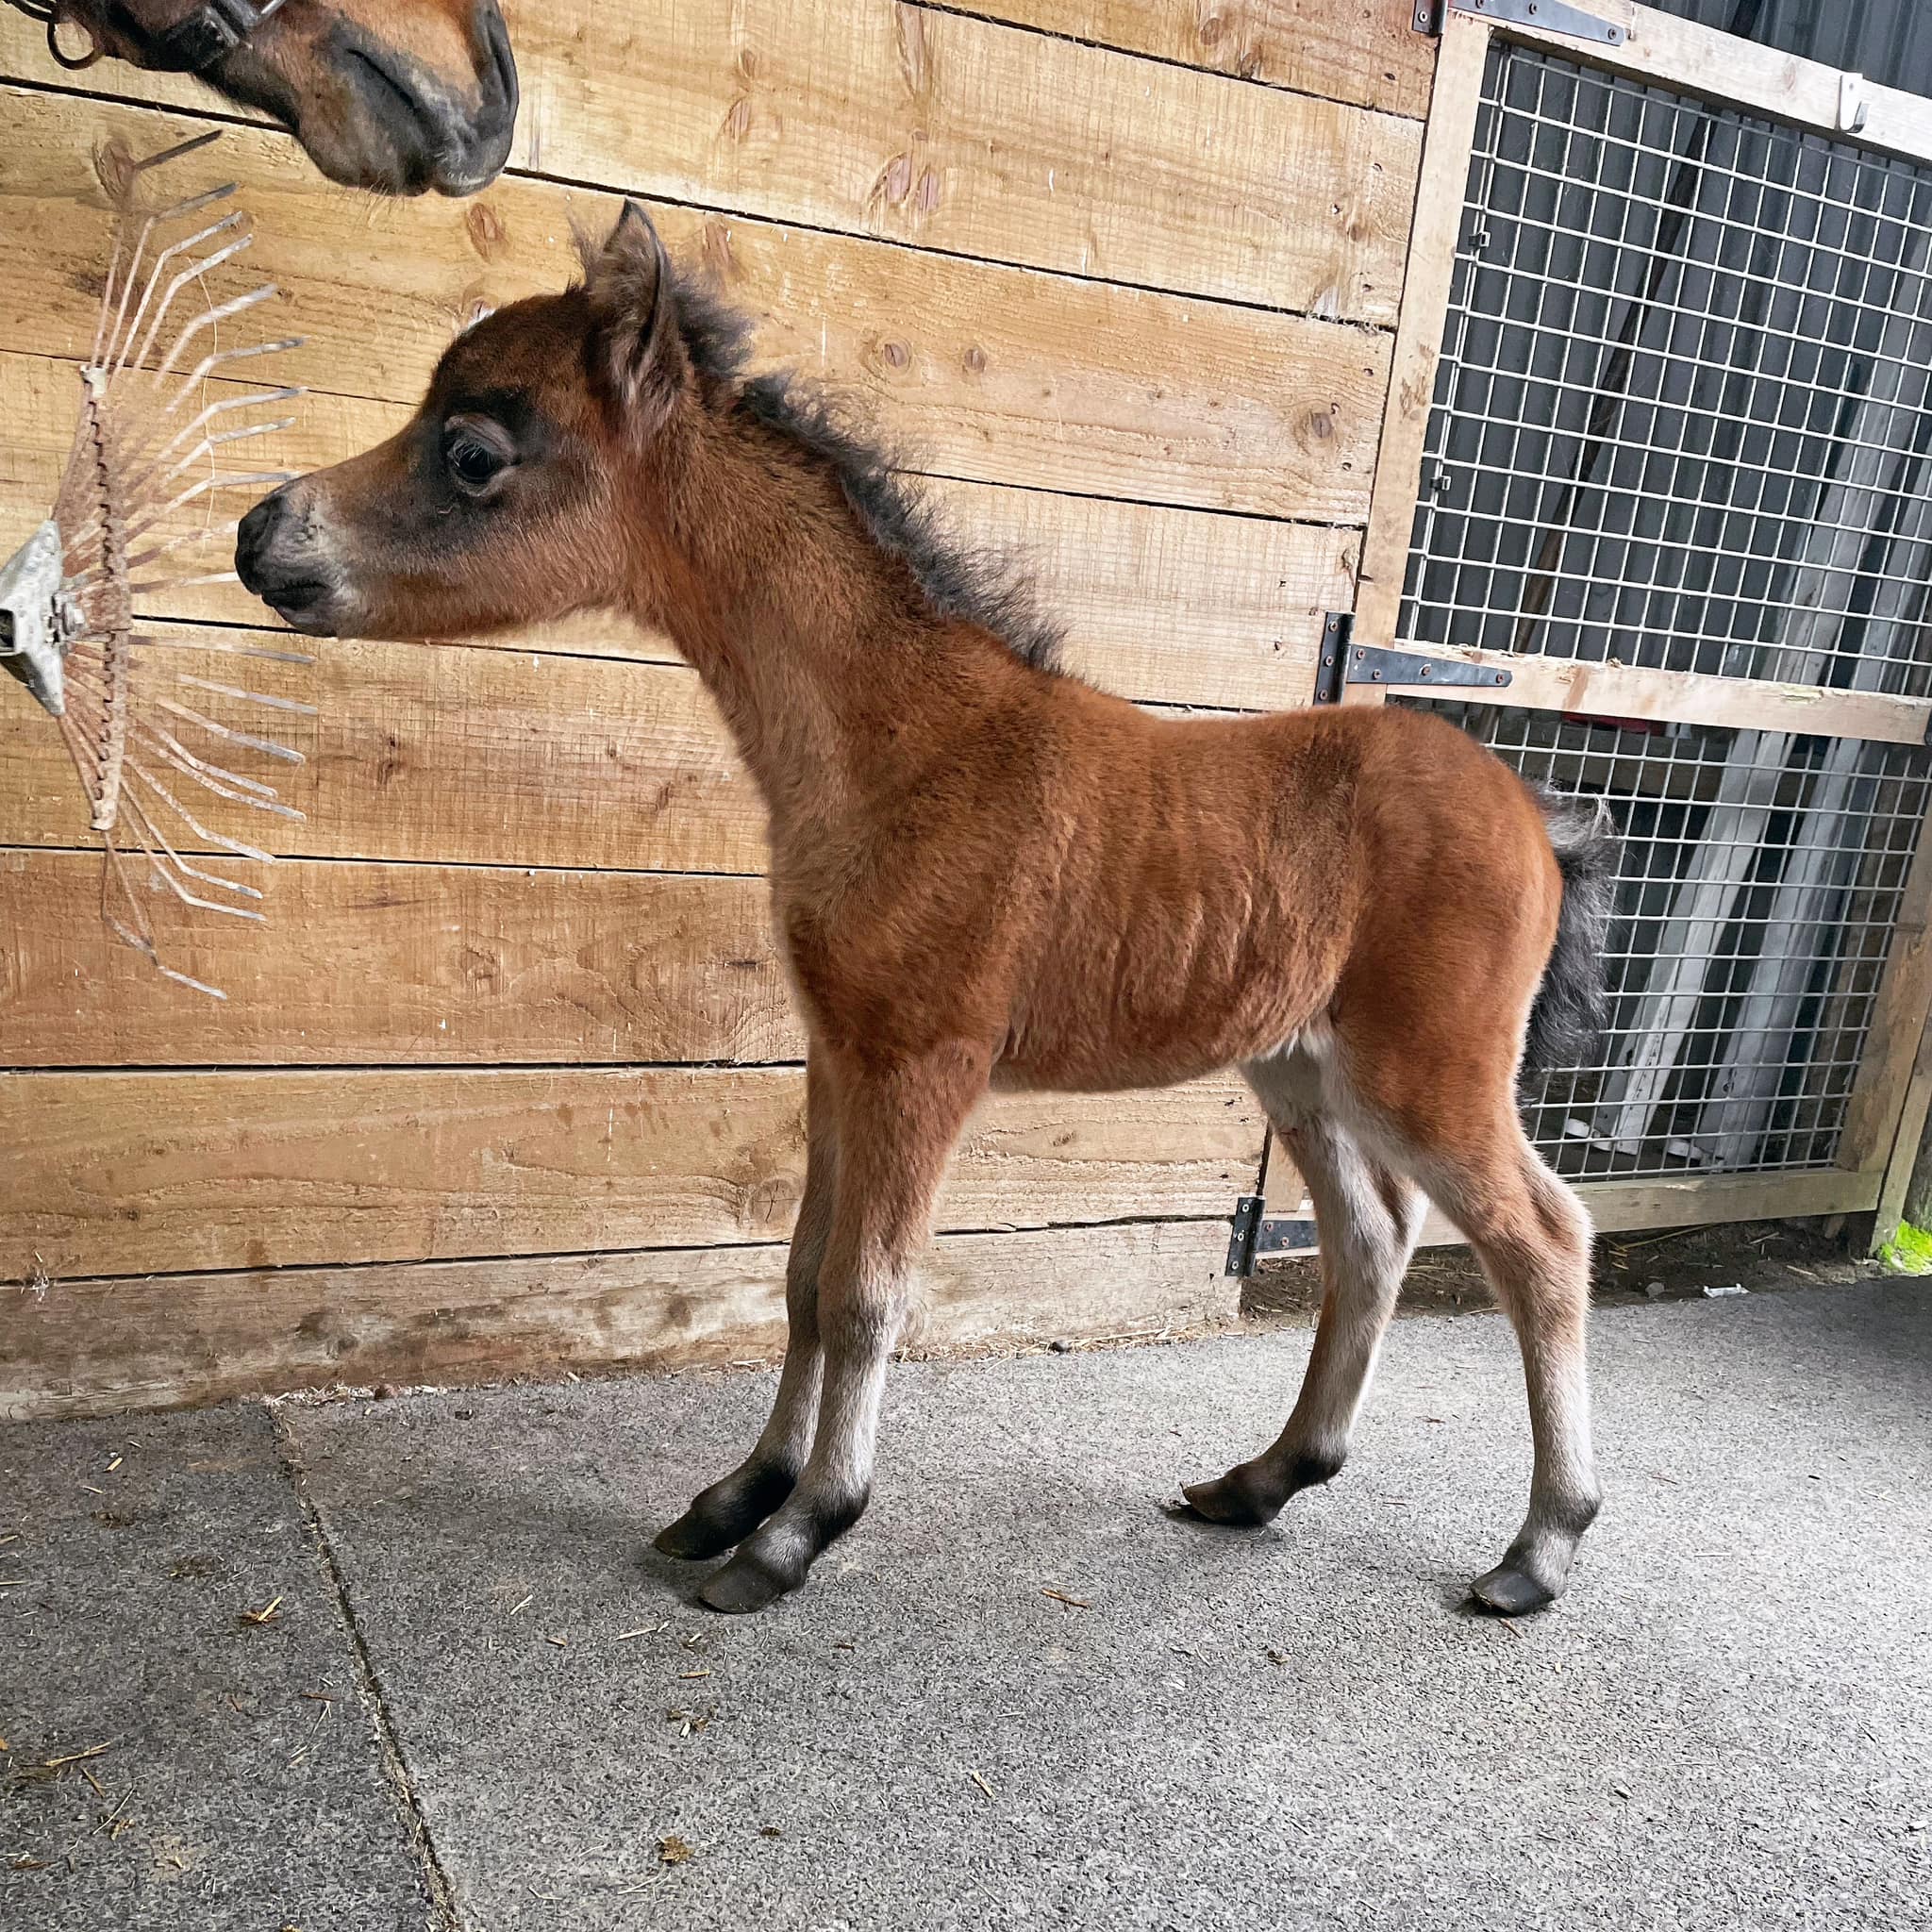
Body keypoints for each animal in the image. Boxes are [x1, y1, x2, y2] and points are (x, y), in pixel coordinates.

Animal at [235, 202, 1619, 1619]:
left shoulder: (925, 1065)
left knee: (1543, 1239)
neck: (902, 746)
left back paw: (1539, 1546)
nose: (260, 534)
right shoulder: (839, 1056)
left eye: (472, 450)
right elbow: (801, 1277)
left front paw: (799, 1529)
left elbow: (866, 1293)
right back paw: (1262, 1482)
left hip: (1428, 1070)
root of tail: (1538, 817)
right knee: (1373, 1240)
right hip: (1300, 1067)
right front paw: (737, 1495)